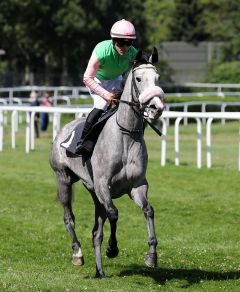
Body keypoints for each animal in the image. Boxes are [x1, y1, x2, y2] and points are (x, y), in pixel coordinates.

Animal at [48, 48, 165, 278]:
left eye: (157, 78)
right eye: (138, 78)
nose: (156, 107)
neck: (125, 135)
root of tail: (63, 130)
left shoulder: (137, 185)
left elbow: (148, 210)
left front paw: (151, 255)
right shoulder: (103, 185)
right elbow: (114, 213)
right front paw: (112, 248)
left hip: (93, 193)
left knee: (96, 231)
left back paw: (99, 271)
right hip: (63, 179)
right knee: (69, 217)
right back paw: (77, 253)